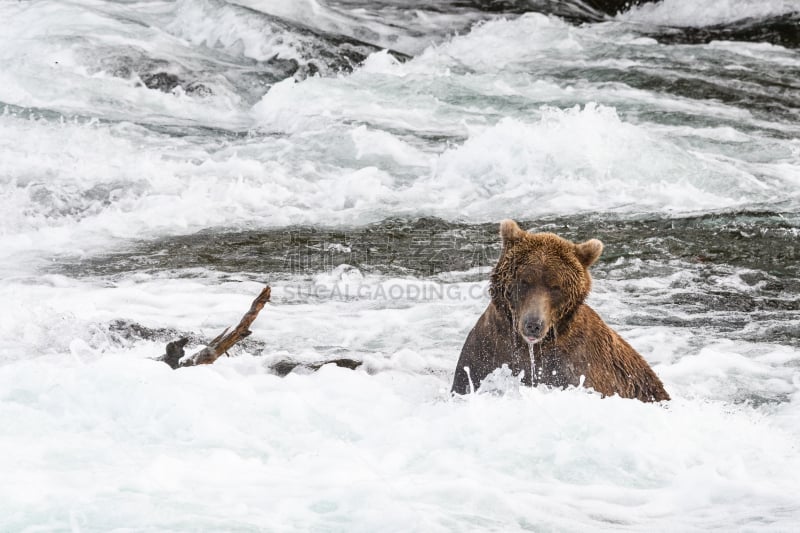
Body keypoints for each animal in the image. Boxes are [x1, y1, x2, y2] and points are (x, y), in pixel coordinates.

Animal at [450, 218, 668, 402]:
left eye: (556, 286)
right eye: (524, 281)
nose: (533, 325)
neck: (531, 348)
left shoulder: (577, 366)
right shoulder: (487, 350)